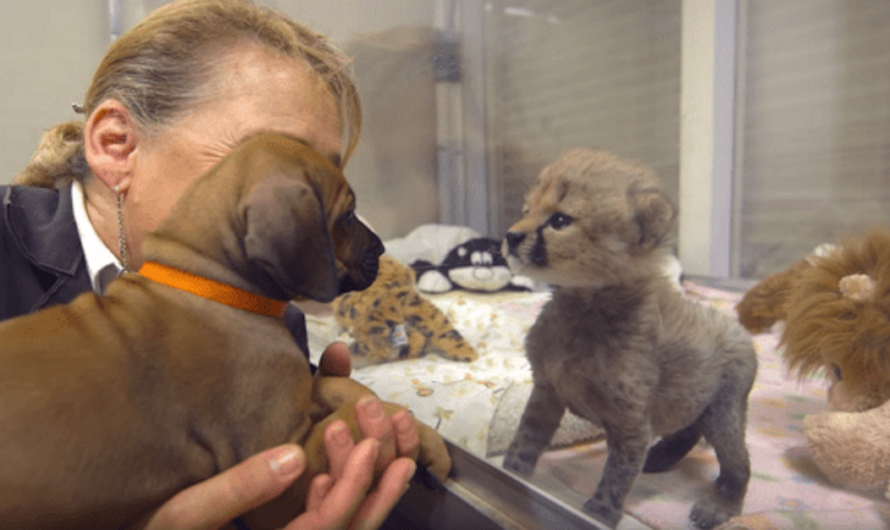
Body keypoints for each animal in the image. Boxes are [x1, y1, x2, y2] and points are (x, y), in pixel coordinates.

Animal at [0, 134, 448, 528]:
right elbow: (356, 416)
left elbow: (340, 388)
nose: (383, 249)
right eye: (348, 216)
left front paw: (426, 439)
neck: (211, 285)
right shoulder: (282, 479)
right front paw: (399, 422)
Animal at [500, 148, 756, 528]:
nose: (511, 236)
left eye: (560, 220)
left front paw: (600, 513)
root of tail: (739, 328)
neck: (584, 305)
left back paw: (720, 506)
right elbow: (527, 437)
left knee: (737, 462)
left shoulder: (631, 424)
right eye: (526, 211)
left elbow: (618, 474)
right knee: (687, 428)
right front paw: (512, 472)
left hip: (723, 410)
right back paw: (660, 458)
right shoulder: (547, 390)